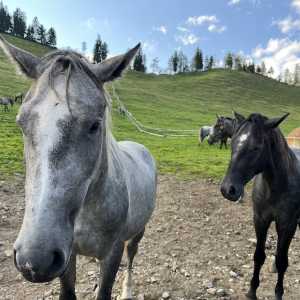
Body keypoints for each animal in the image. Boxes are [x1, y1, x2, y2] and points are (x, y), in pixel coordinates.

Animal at [0, 35, 158, 300]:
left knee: (131, 256)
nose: (34, 260)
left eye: (95, 125)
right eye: (21, 123)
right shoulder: (67, 255)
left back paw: (126, 291)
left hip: (139, 232)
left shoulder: (111, 255)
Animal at [220, 110, 300, 300]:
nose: (227, 189)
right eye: (233, 142)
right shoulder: (260, 220)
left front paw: (278, 293)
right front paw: (252, 290)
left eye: (256, 147)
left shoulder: (288, 225)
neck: (275, 188)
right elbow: (259, 256)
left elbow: (283, 260)